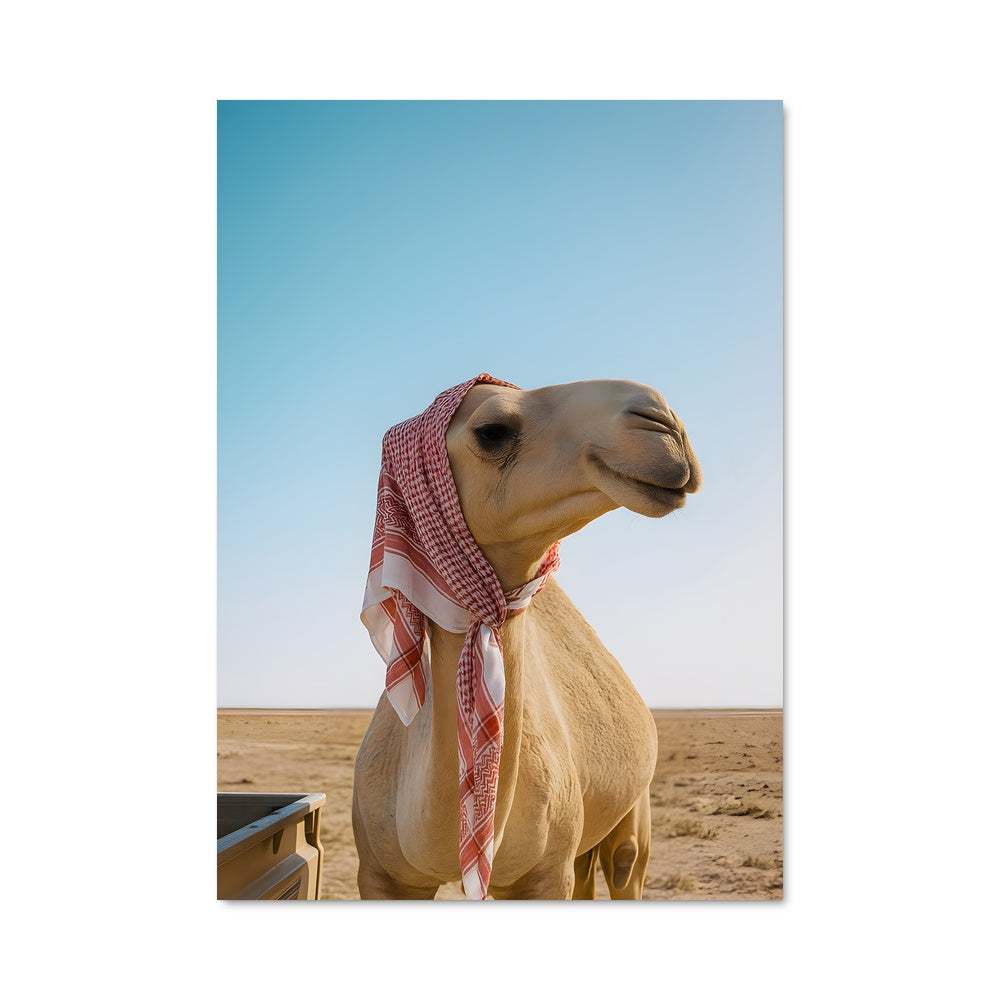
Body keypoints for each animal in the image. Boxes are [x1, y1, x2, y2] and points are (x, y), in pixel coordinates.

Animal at [354, 374, 701, 899]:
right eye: (492, 431)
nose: (664, 424)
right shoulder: (382, 875)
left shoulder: (542, 875)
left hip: (634, 804)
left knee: (624, 861)